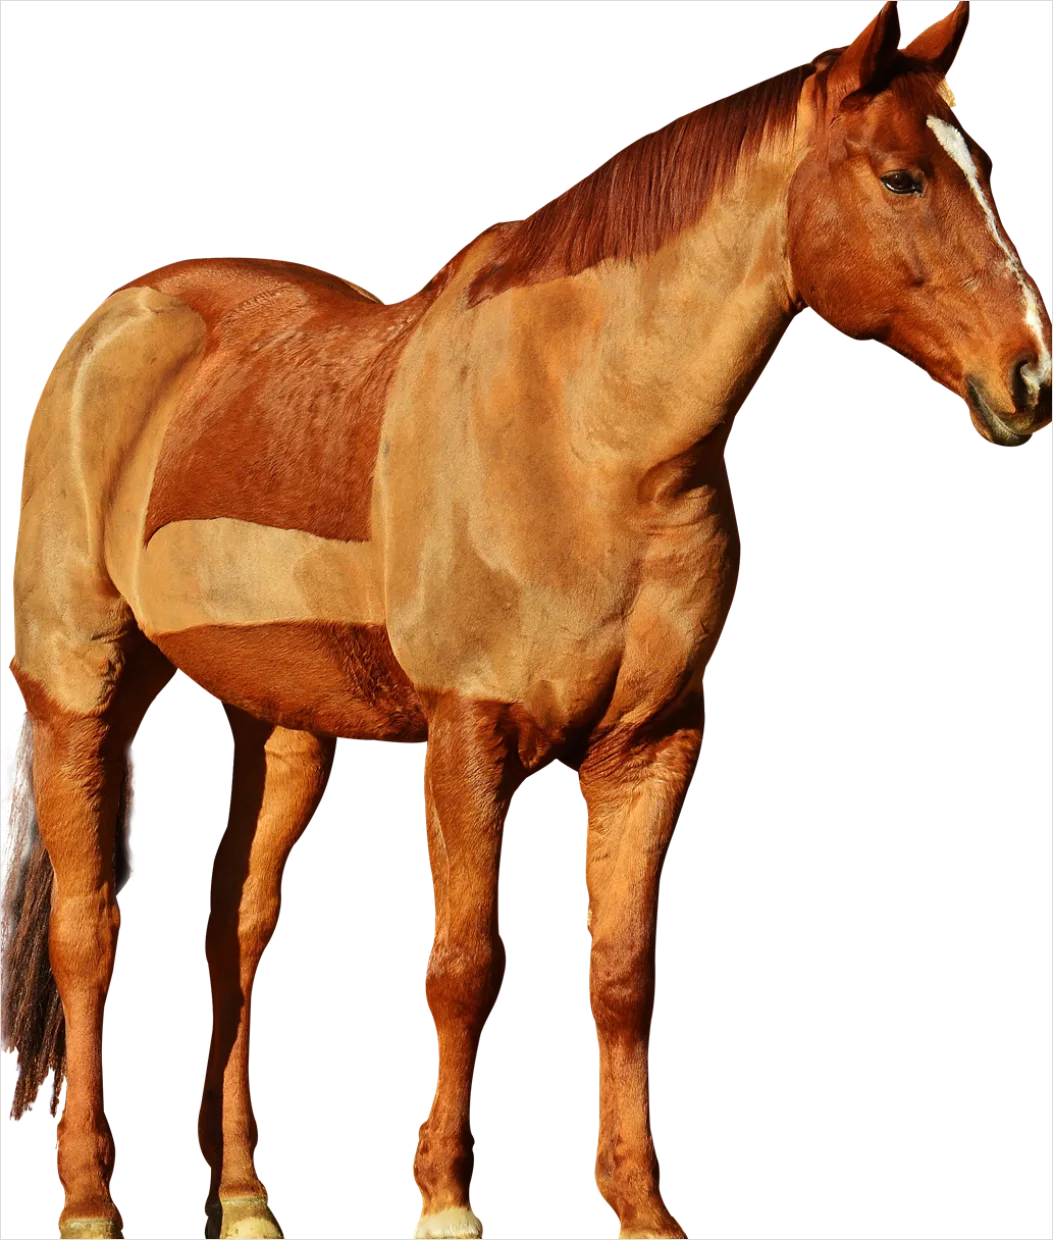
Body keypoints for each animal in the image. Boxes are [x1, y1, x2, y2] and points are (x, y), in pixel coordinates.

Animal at [3, 3, 1049, 1237]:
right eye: (899, 177)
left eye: (983, 168)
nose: (1029, 377)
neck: (592, 436)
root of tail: (115, 322)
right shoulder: (468, 734)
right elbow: (464, 964)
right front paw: (448, 1198)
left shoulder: (650, 745)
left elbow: (624, 973)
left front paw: (643, 1205)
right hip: (81, 695)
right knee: (87, 935)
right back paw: (87, 1199)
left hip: (281, 726)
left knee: (237, 933)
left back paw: (248, 1197)